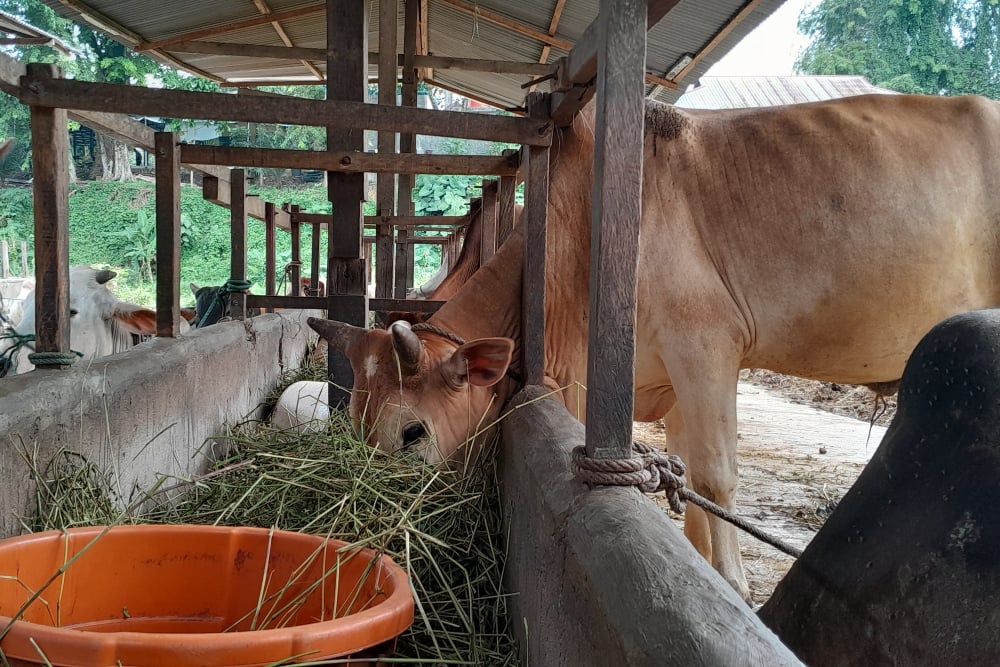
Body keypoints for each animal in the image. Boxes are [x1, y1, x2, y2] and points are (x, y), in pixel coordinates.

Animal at [308, 95, 1000, 600]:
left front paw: (732, 587)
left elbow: (716, 476)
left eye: (412, 433)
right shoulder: (665, 384)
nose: (374, 523)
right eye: (353, 425)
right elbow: (688, 477)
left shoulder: (706, 347)